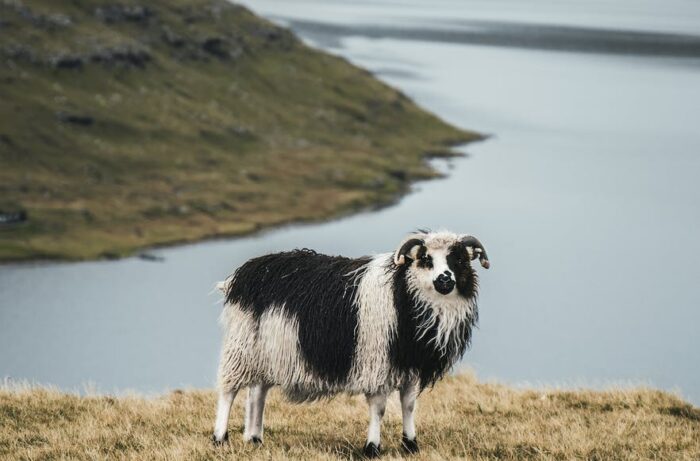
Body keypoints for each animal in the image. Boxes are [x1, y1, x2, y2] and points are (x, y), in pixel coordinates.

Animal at [211, 230, 490, 456]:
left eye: (459, 260)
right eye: (425, 259)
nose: (445, 280)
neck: (402, 293)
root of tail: (242, 274)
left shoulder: (409, 367)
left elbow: (409, 405)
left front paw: (410, 444)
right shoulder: (377, 364)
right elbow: (379, 409)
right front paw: (372, 448)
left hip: (267, 352)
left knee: (257, 393)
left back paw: (254, 438)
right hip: (241, 346)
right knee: (229, 390)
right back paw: (220, 438)